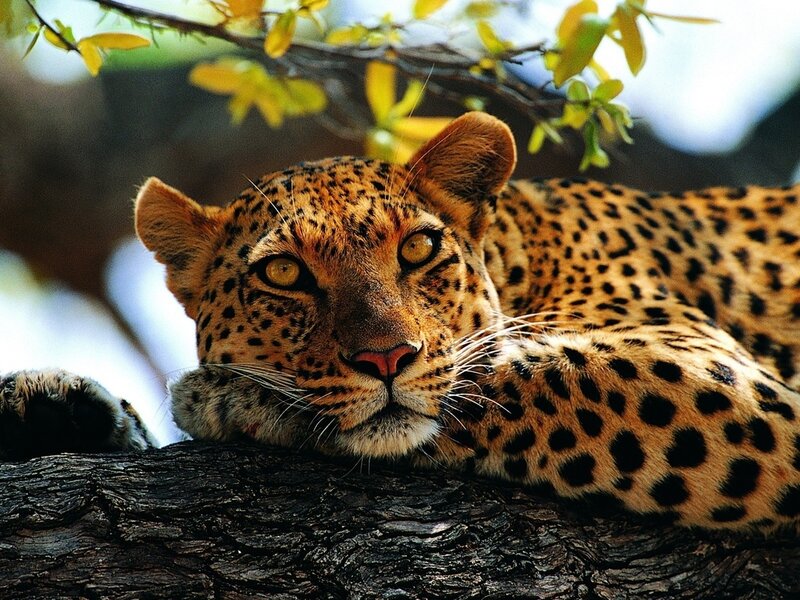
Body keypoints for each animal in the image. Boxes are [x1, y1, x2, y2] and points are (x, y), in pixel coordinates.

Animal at [3, 111, 800, 532]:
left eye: (418, 249)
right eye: (283, 274)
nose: (386, 359)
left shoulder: (727, 382)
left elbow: (508, 377)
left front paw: (227, 395)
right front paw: (55, 408)